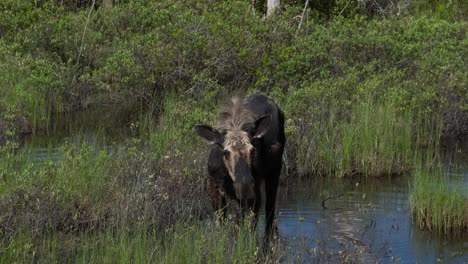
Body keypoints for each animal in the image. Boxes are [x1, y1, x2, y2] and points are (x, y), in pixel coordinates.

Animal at [194, 93, 286, 239]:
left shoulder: (254, 192)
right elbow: (222, 222)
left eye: (253, 150)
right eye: (225, 152)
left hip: (274, 173)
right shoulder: (213, 186)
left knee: (270, 209)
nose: (244, 185)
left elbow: (250, 227)